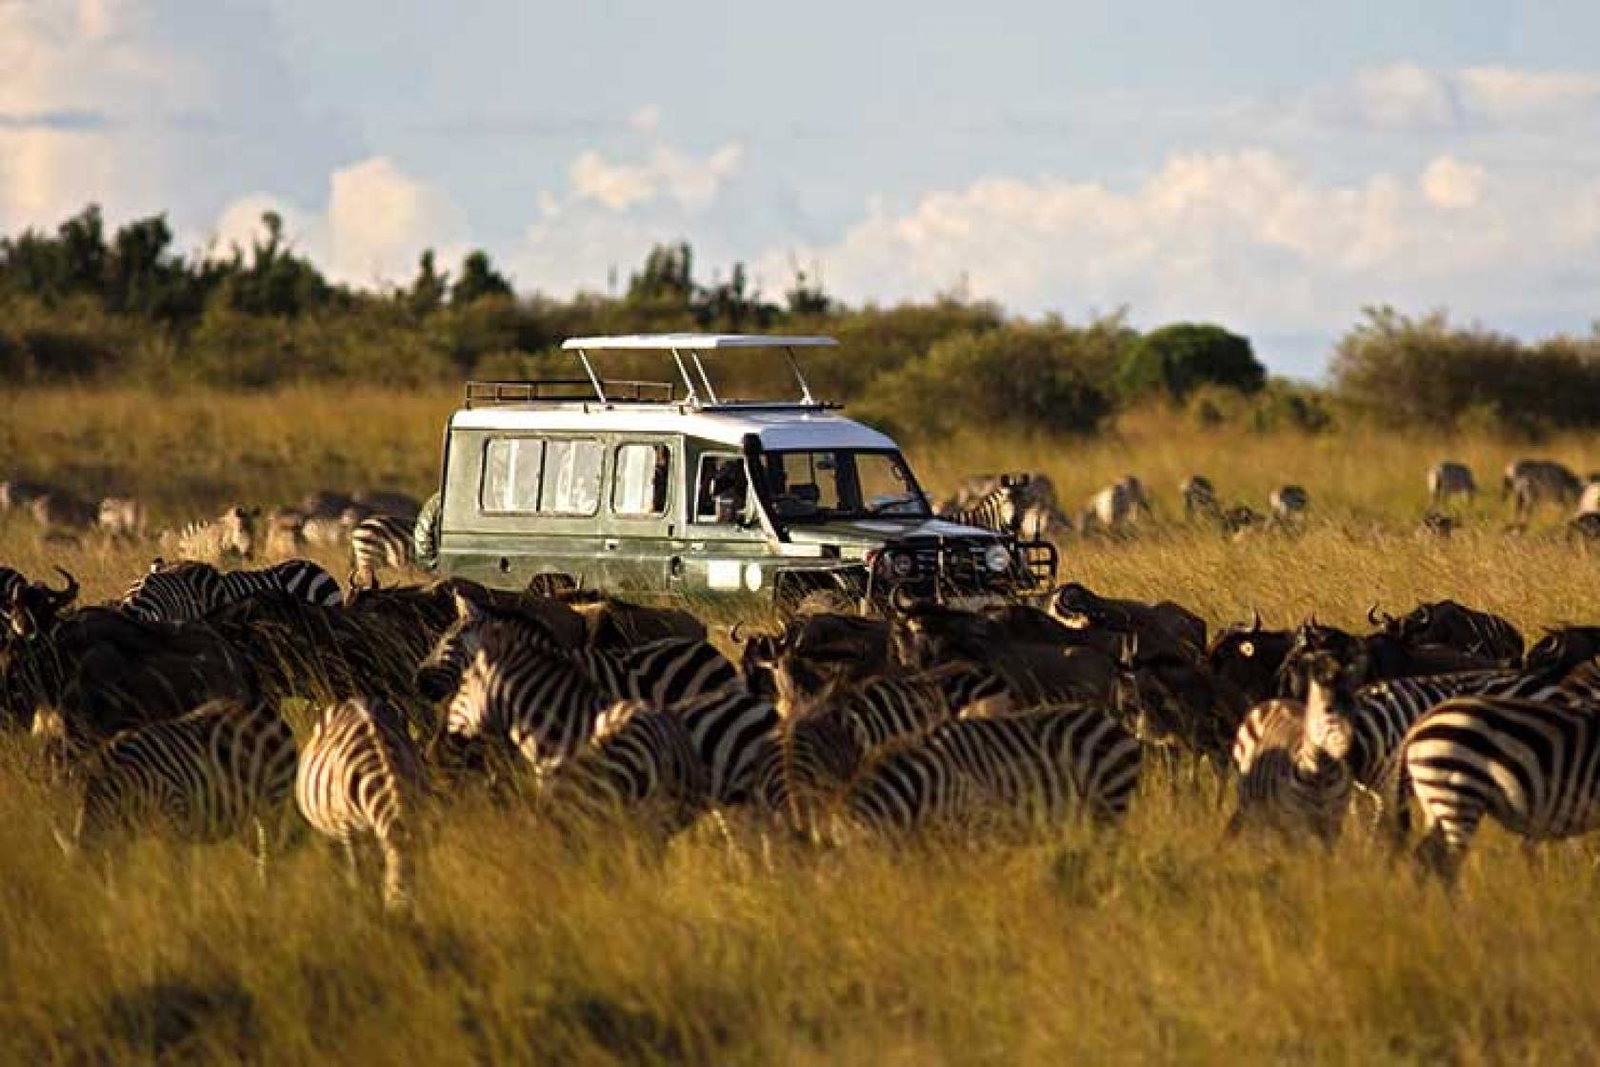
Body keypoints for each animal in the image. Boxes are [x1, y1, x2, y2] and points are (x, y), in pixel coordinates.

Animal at [60, 698, 299, 874]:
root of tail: (270, 714)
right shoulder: (123, 834)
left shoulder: (174, 823)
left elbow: (176, 875)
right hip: (243, 810)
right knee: (258, 851)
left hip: (272, 802)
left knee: (269, 853)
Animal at [295, 696, 427, 914]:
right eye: (397, 890)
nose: (404, 919)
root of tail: (353, 700)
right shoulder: (347, 828)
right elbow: (358, 875)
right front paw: (361, 908)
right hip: (330, 830)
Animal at [1227, 653, 1357, 843]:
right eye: (1328, 710)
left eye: (1354, 707)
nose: (1350, 750)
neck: (1320, 776)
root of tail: (1275, 700)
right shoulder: (1297, 826)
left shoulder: (1333, 826)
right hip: (1252, 806)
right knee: (1257, 840)